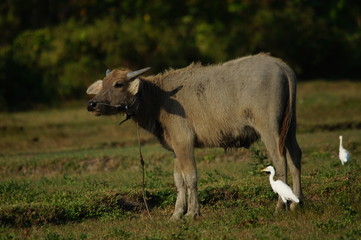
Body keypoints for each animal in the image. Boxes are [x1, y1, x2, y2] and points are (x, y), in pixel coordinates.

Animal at [86, 53, 300, 219]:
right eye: (103, 84)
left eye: (118, 84)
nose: (91, 104)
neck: (160, 99)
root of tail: (280, 65)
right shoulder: (176, 148)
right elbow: (179, 181)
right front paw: (176, 214)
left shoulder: (185, 144)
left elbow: (191, 178)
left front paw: (192, 213)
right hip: (289, 127)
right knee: (295, 158)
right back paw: (297, 203)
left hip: (269, 129)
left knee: (280, 161)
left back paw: (280, 207)